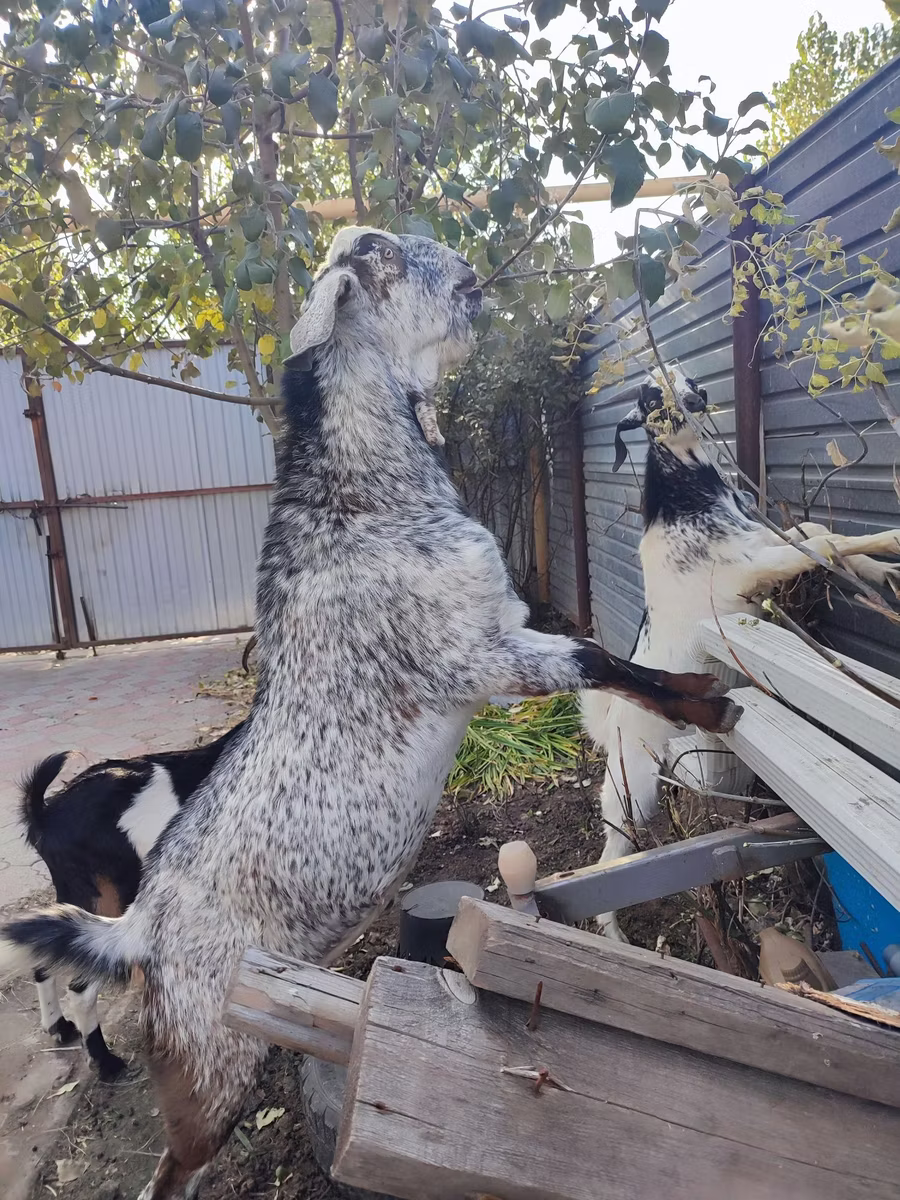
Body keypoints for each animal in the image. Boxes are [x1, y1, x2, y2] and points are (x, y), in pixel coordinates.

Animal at [20, 724, 243, 1080]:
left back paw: (60, 1027)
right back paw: (105, 1062)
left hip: (75, 895)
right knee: (81, 987)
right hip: (111, 898)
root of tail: (47, 816)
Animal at [581, 369, 900, 941]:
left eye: (685, 378)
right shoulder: (746, 571)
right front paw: (891, 539)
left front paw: (879, 569)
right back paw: (612, 935)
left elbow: (817, 533)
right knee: (608, 866)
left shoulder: (762, 542)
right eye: (651, 397)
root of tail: (611, 721)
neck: (692, 495)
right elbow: (825, 542)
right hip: (629, 795)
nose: (696, 397)